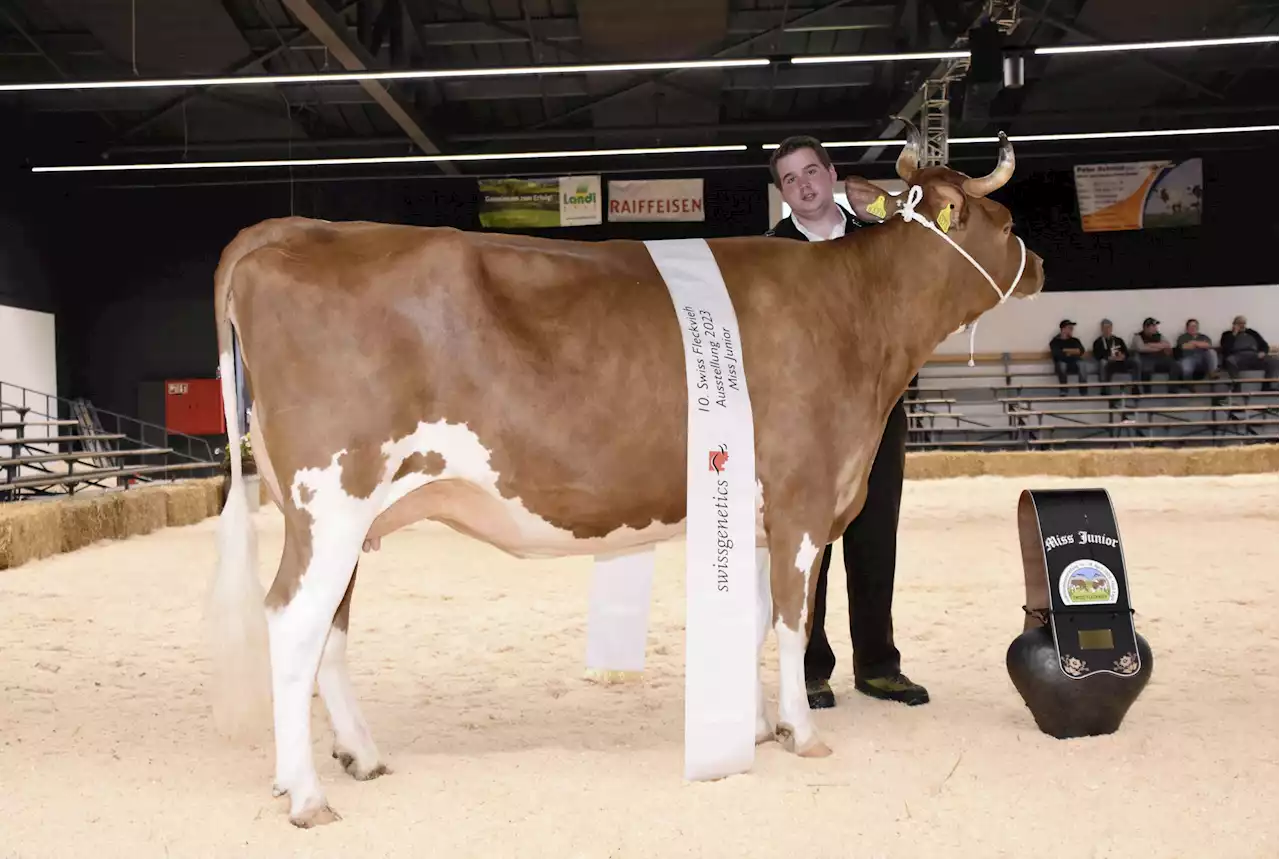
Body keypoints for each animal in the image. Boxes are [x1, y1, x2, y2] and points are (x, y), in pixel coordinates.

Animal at [199, 122, 1039, 824]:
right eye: (1001, 221)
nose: (1038, 266)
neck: (857, 314)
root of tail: (294, 229)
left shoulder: (765, 514)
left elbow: (755, 619)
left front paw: (752, 725)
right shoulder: (806, 500)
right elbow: (792, 621)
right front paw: (801, 731)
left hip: (345, 513)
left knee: (329, 628)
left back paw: (358, 756)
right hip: (332, 496)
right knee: (293, 619)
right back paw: (307, 795)